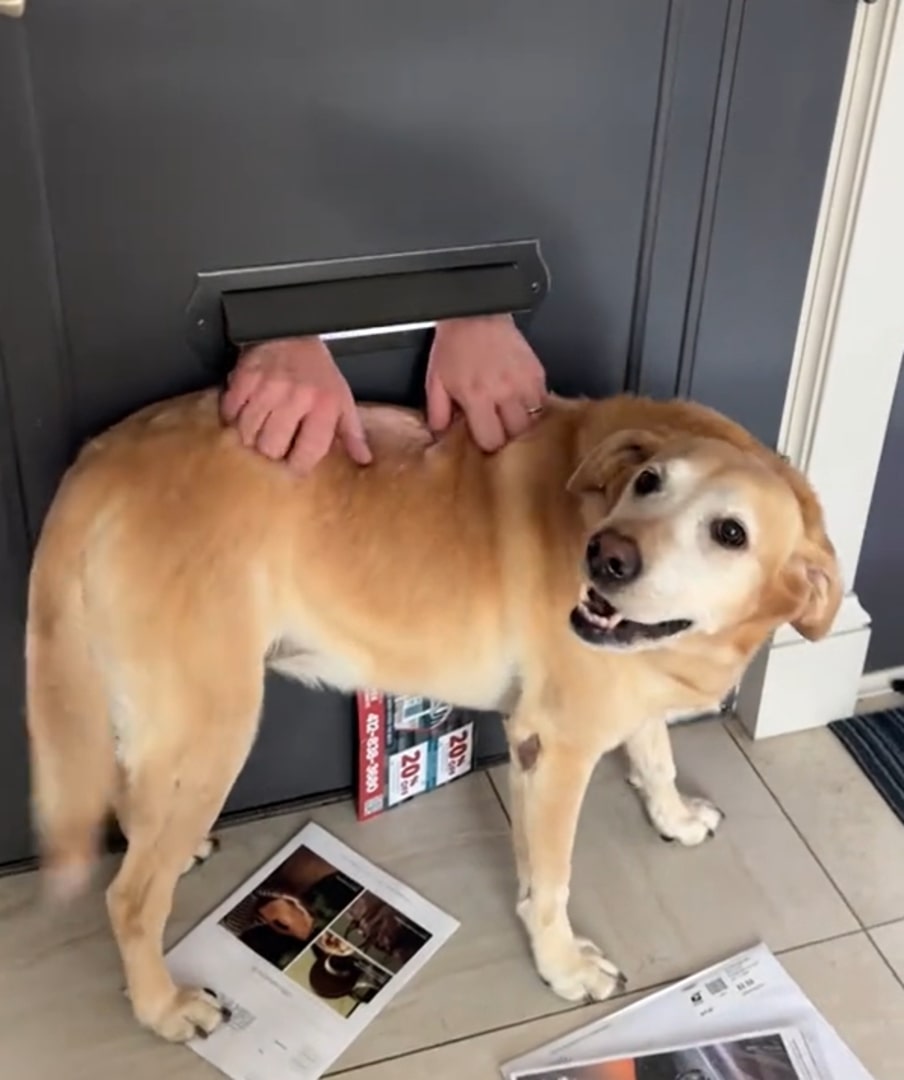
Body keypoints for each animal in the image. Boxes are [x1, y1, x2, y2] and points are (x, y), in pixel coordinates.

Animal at [22, 386, 838, 1036]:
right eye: (648, 481)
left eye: (730, 533)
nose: (605, 557)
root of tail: (95, 462)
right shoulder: (554, 747)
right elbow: (551, 881)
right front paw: (563, 966)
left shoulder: (629, 685)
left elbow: (655, 755)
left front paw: (674, 818)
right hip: (214, 726)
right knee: (130, 900)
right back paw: (162, 1007)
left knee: (134, 798)